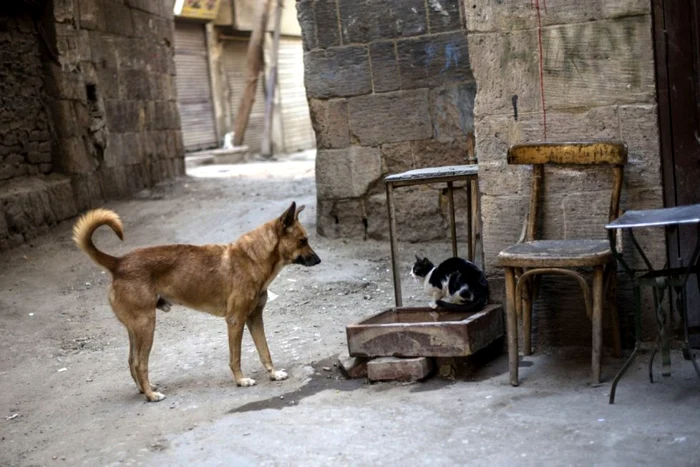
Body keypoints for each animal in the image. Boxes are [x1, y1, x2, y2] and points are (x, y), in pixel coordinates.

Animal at [73, 202, 320, 402]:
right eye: (303, 240)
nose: (318, 260)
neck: (253, 258)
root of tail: (118, 263)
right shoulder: (235, 320)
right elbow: (236, 357)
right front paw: (241, 380)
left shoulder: (254, 318)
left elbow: (264, 350)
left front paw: (273, 373)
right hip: (146, 325)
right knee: (139, 364)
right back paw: (151, 396)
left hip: (136, 329)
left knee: (131, 361)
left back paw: (145, 390)